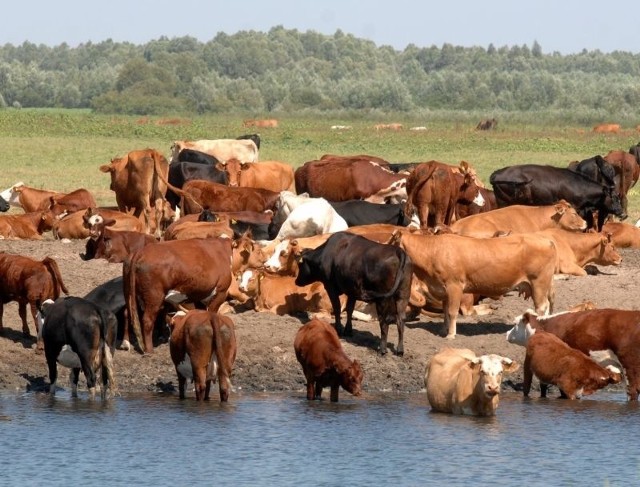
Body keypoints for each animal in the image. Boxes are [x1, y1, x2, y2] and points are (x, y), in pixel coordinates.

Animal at [392, 231, 556, 338]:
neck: (433, 251)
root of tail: (546, 240)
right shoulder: (444, 290)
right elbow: (445, 311)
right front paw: (444, 331)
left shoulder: (454, 286)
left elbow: (452, 312)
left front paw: (451, 334)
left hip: (538, 283)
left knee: (541, 307)